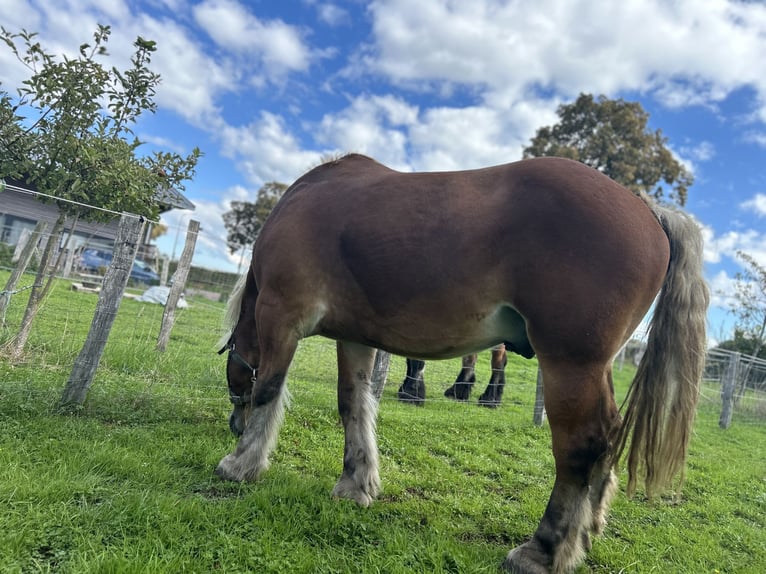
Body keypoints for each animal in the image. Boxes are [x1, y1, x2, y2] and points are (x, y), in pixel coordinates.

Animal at [216, 154, 708, 574]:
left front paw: (242, 464)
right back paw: (582, 535)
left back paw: (543, 550)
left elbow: (269, 389)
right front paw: (355, 483)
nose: (234, 426)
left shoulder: (280, 316)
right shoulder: (354, 339)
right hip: (594, 369)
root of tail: (648, 210)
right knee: (607, 442)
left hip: (571, 367)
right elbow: (354, 405)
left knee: (581, 446)